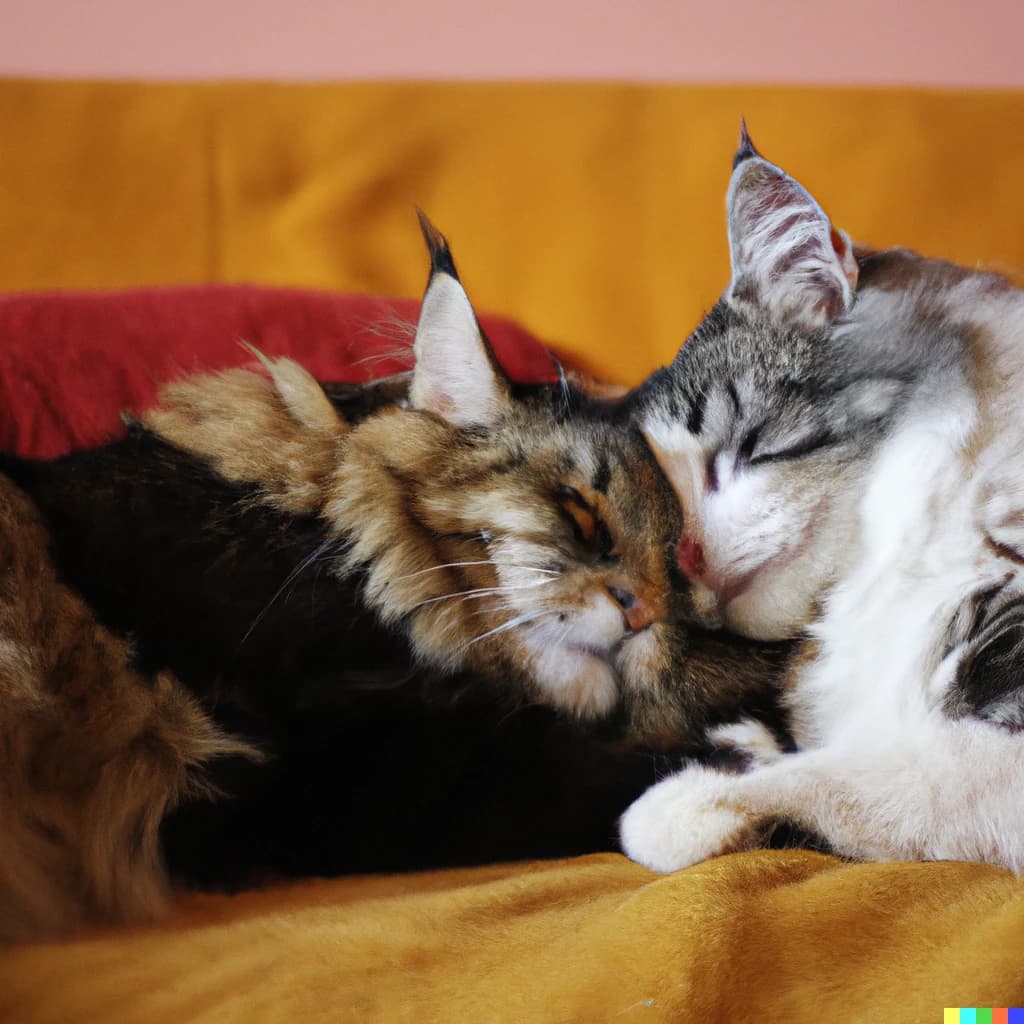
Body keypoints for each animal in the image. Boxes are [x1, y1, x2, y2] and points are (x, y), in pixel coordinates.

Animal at [0, 214, 782, 937]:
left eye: (679, 579)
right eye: (582, 515)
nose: (643, 613)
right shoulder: (325, 768)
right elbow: (589, 779)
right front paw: (733, 773)